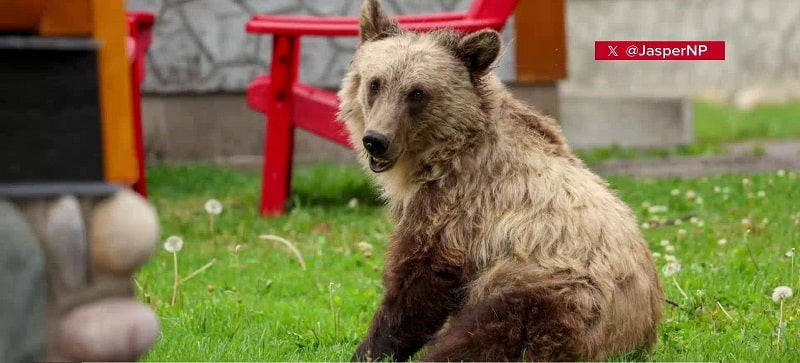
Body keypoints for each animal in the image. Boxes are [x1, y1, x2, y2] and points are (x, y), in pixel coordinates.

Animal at [336, 1, 664, 362]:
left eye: (417, 93)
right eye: (375, 83)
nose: (376, 140)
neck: (438, 156)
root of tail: (639, 332)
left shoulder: (459, 206)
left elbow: (417, 283)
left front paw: (369, 349)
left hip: (551, 292)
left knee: (488, 333)